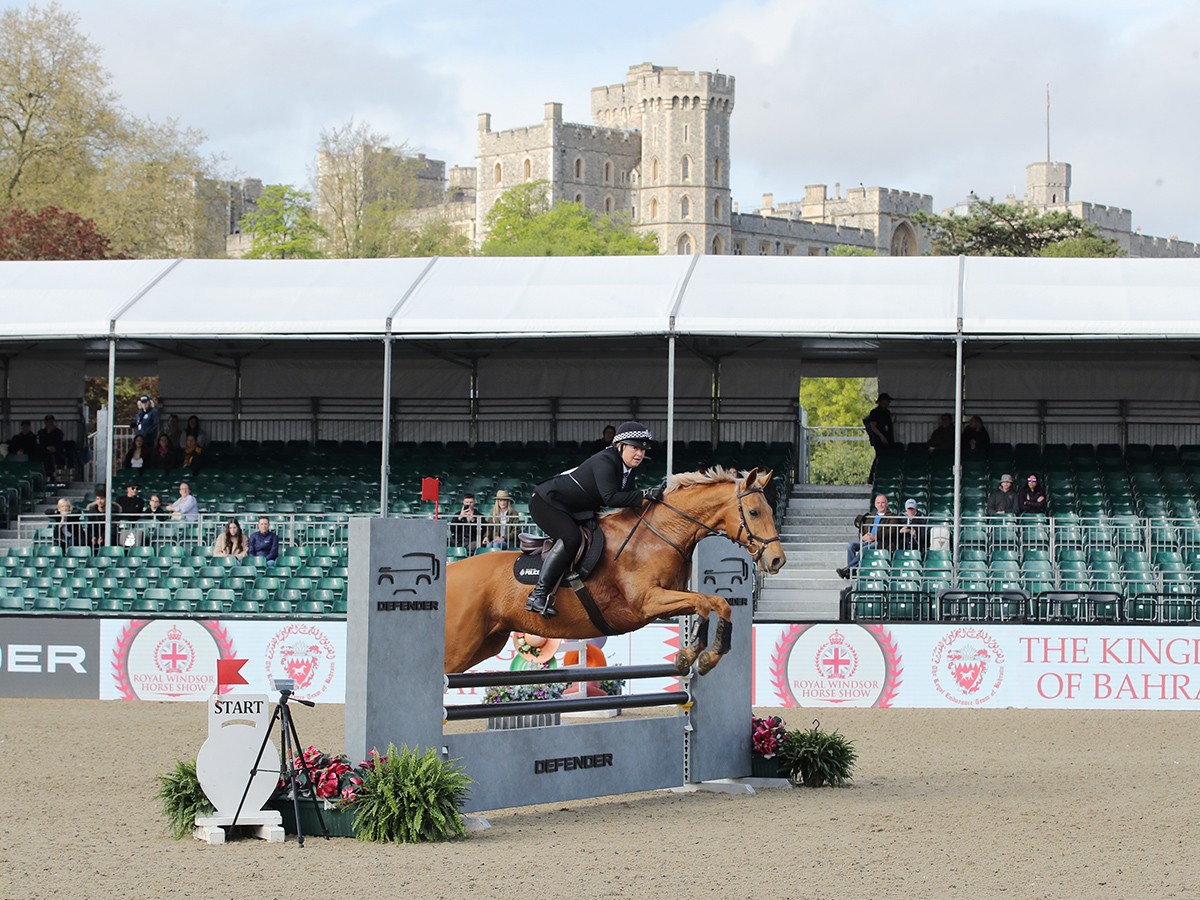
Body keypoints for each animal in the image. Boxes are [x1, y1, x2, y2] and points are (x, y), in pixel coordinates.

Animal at [444, 468, 787, 672]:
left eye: (771, 510)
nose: (777, 561)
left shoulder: (672, 596)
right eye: (754, 512)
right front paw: (695, 655)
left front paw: (701, 656)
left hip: (486, 642)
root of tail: (452, 572)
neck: (660, 534)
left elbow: (716, 603)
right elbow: (706, 602)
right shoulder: (647, 602)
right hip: (460, 645)